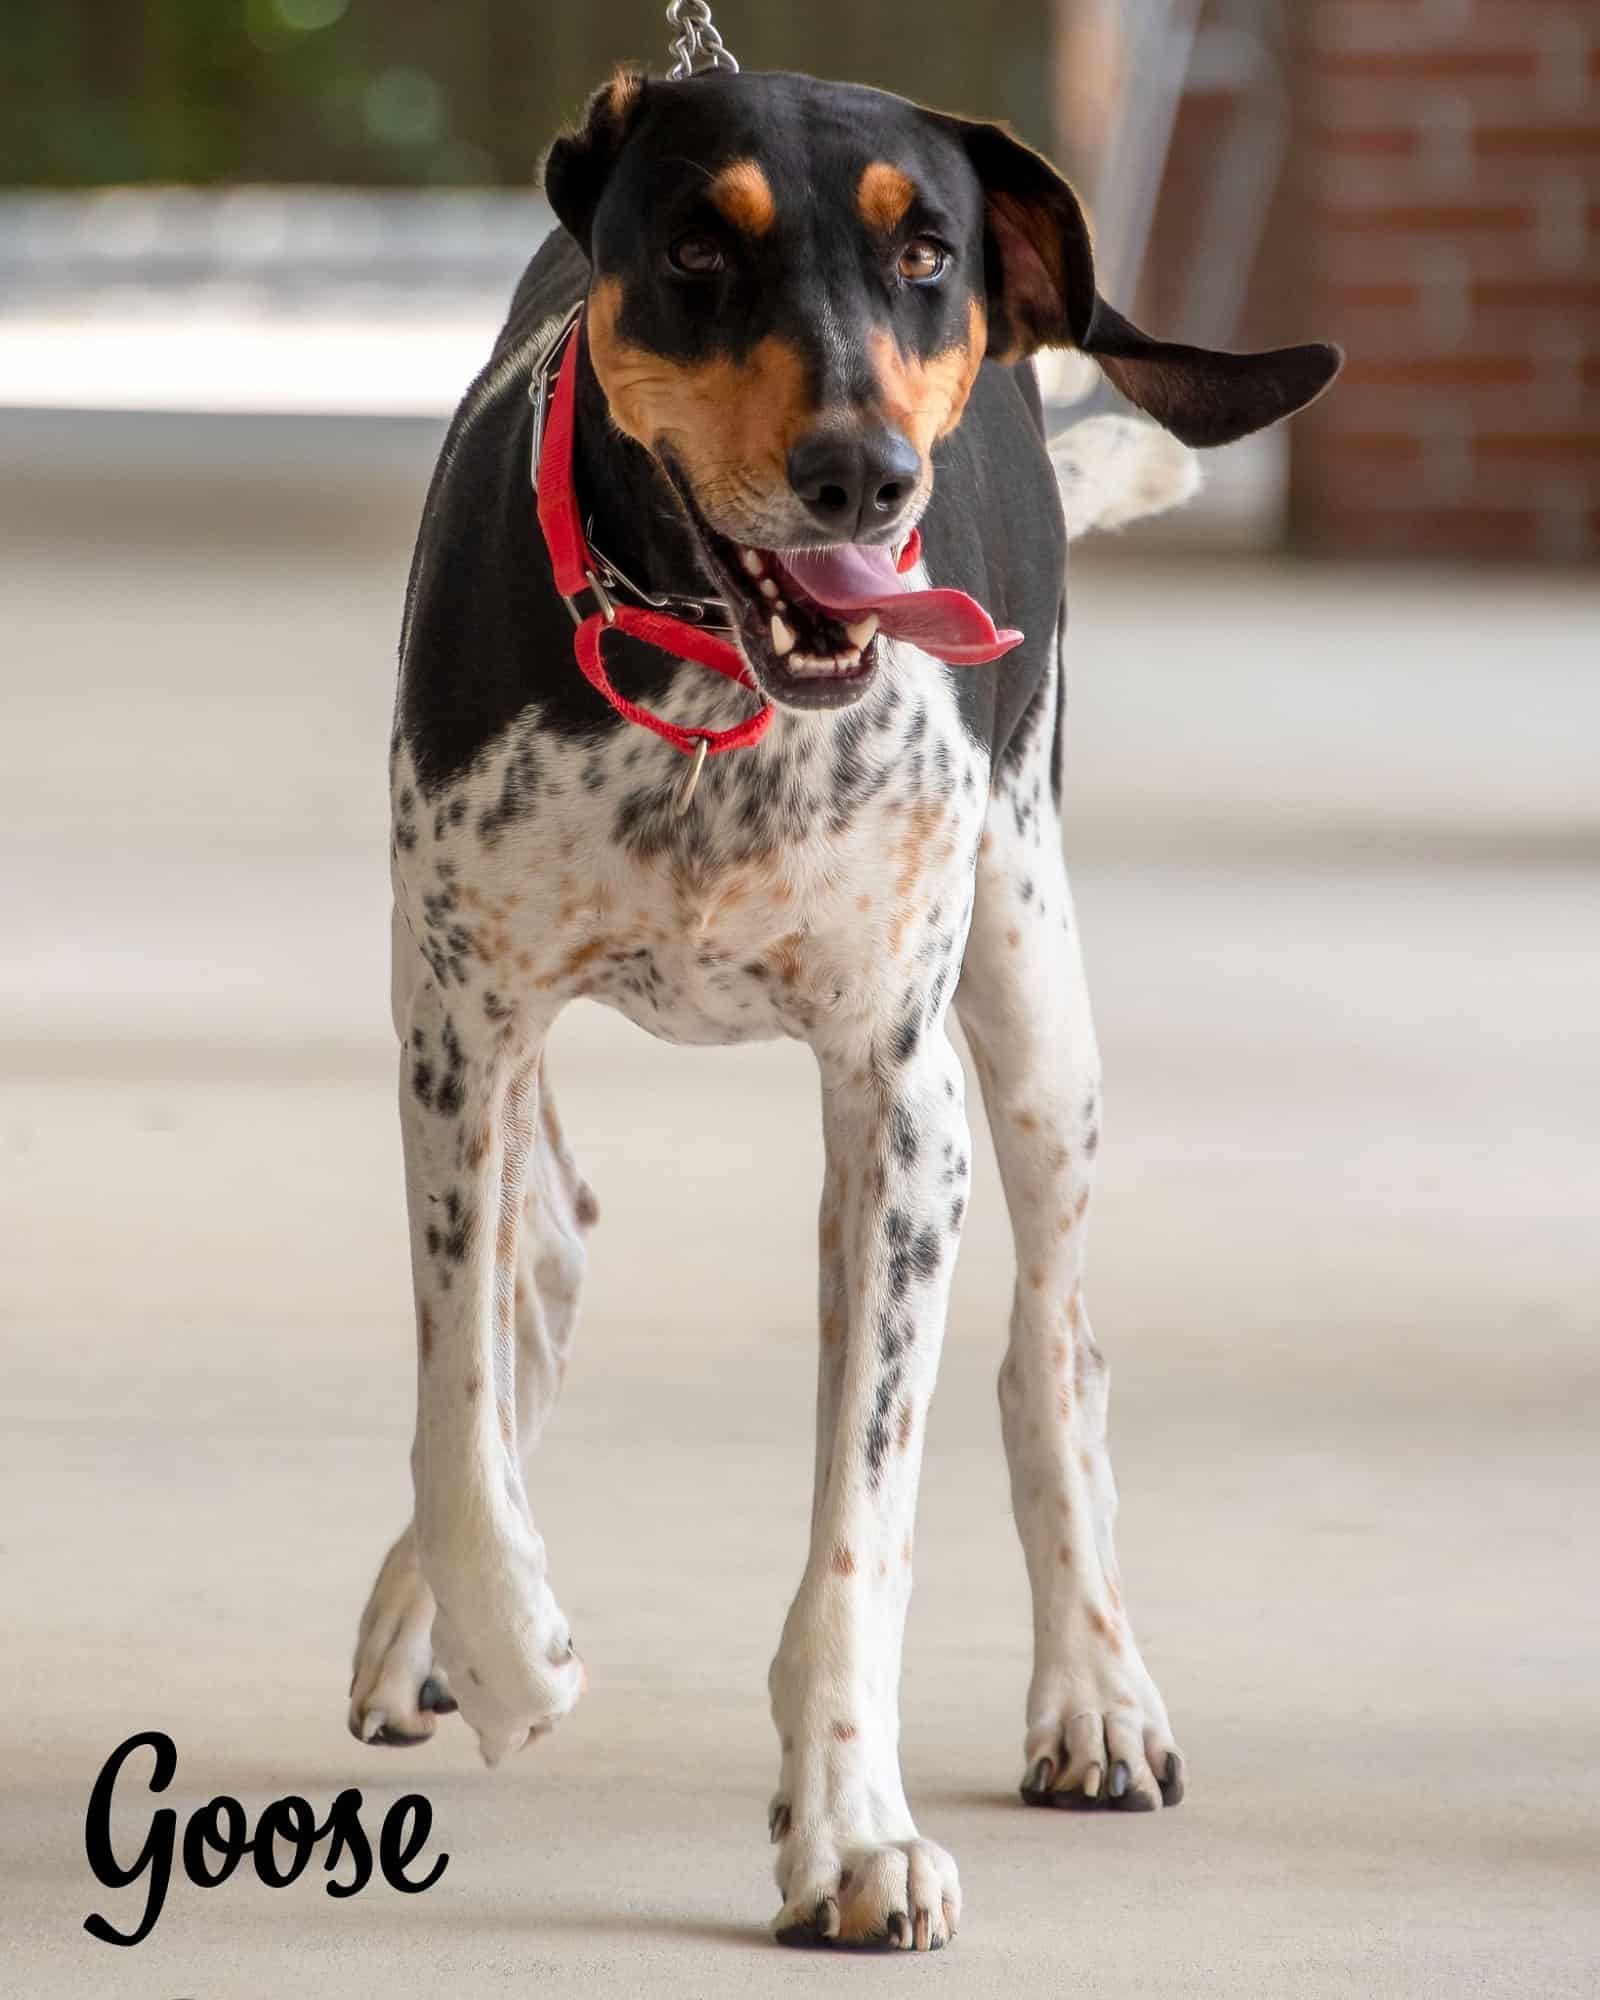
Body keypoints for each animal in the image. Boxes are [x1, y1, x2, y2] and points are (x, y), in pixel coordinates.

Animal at [346, 66, 1336, 1952]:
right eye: (697, 248)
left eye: (925, 253)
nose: (863, 476)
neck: (711, 699)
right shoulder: (458, 1032)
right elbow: (451, 1405)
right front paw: (506, 1648)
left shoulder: (898, 1104)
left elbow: (859, 1541)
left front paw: (854, 1831)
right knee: (540, 1275)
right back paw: (428, 1611)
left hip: (1030, 1013)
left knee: (1055, 1358)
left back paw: (1095, 1697)